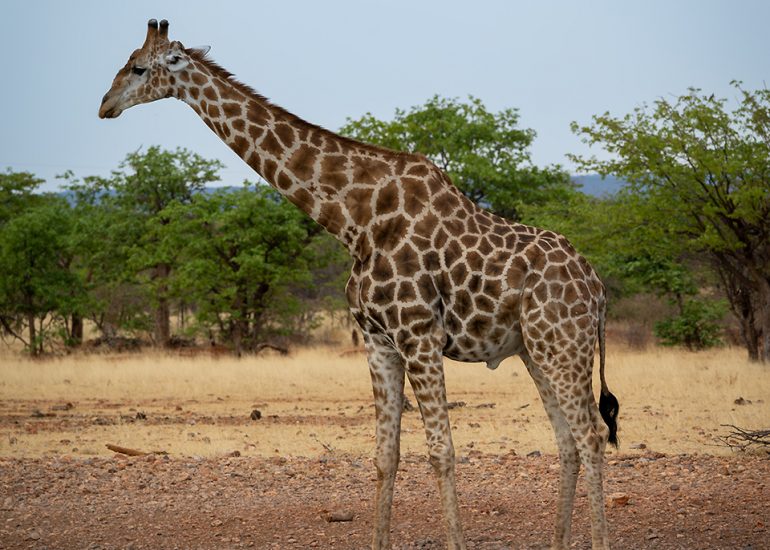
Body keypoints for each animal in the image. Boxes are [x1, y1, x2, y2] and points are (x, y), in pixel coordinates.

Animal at [99, 19, 620, 550]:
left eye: (138, 67)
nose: (105, 105)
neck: (355, 220)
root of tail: (598, 288)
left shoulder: (419, 336)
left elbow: (441, 451)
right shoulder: (377, 340)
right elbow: (385, 454)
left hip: (564, 347)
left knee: (592, 435)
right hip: (536, 350)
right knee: (567, 440)